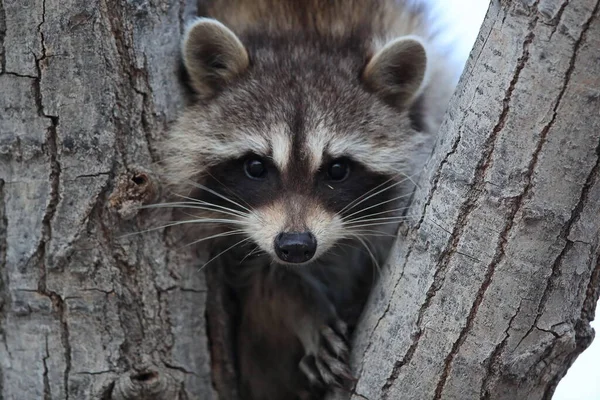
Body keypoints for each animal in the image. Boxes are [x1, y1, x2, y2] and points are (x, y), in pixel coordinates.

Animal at [162, 1, 458, 398]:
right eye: (256, 167)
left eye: (337, 170)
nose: (296, 246)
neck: (305, 33)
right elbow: (262, 275)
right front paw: (301, 307)